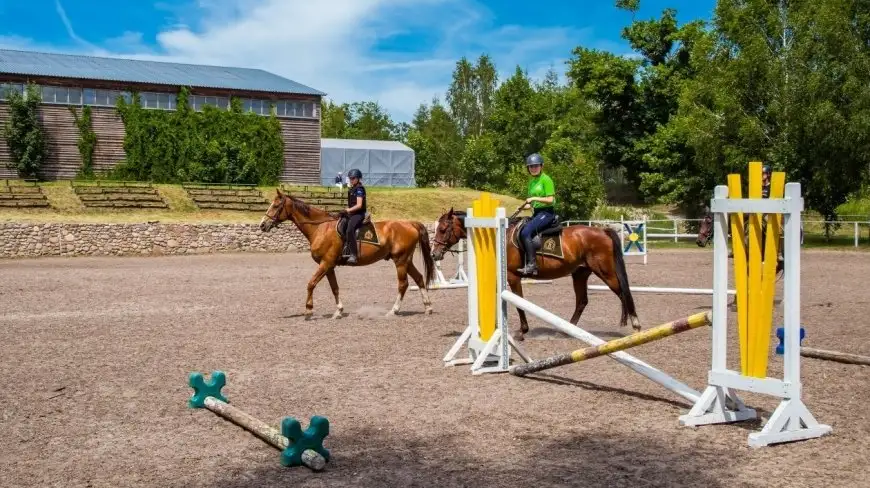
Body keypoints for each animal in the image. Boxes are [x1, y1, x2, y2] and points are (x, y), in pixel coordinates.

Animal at [258, 190, 436, 320]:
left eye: (276, 206)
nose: (262, 225)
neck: (320, 228)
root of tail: (410, 223)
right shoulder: (329, 266)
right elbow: (334, 288)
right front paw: (338, 311)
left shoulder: (325, 263)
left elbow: (311, 284)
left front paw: (308, 311)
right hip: (406, 260)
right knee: (419, 278)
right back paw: (428, 307)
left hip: (400, 261)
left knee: (403, 284)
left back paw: (394, 311)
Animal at [430, 208, 640, 342]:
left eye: (442, 229)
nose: (434, 254)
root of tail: (602, 231)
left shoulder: (513, 277)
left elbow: (518, 302)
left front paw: (522, 332)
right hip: (580, 274)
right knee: (582, 301)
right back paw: (567, 330)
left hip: (606, 272)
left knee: (623, 292)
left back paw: (636, 326)